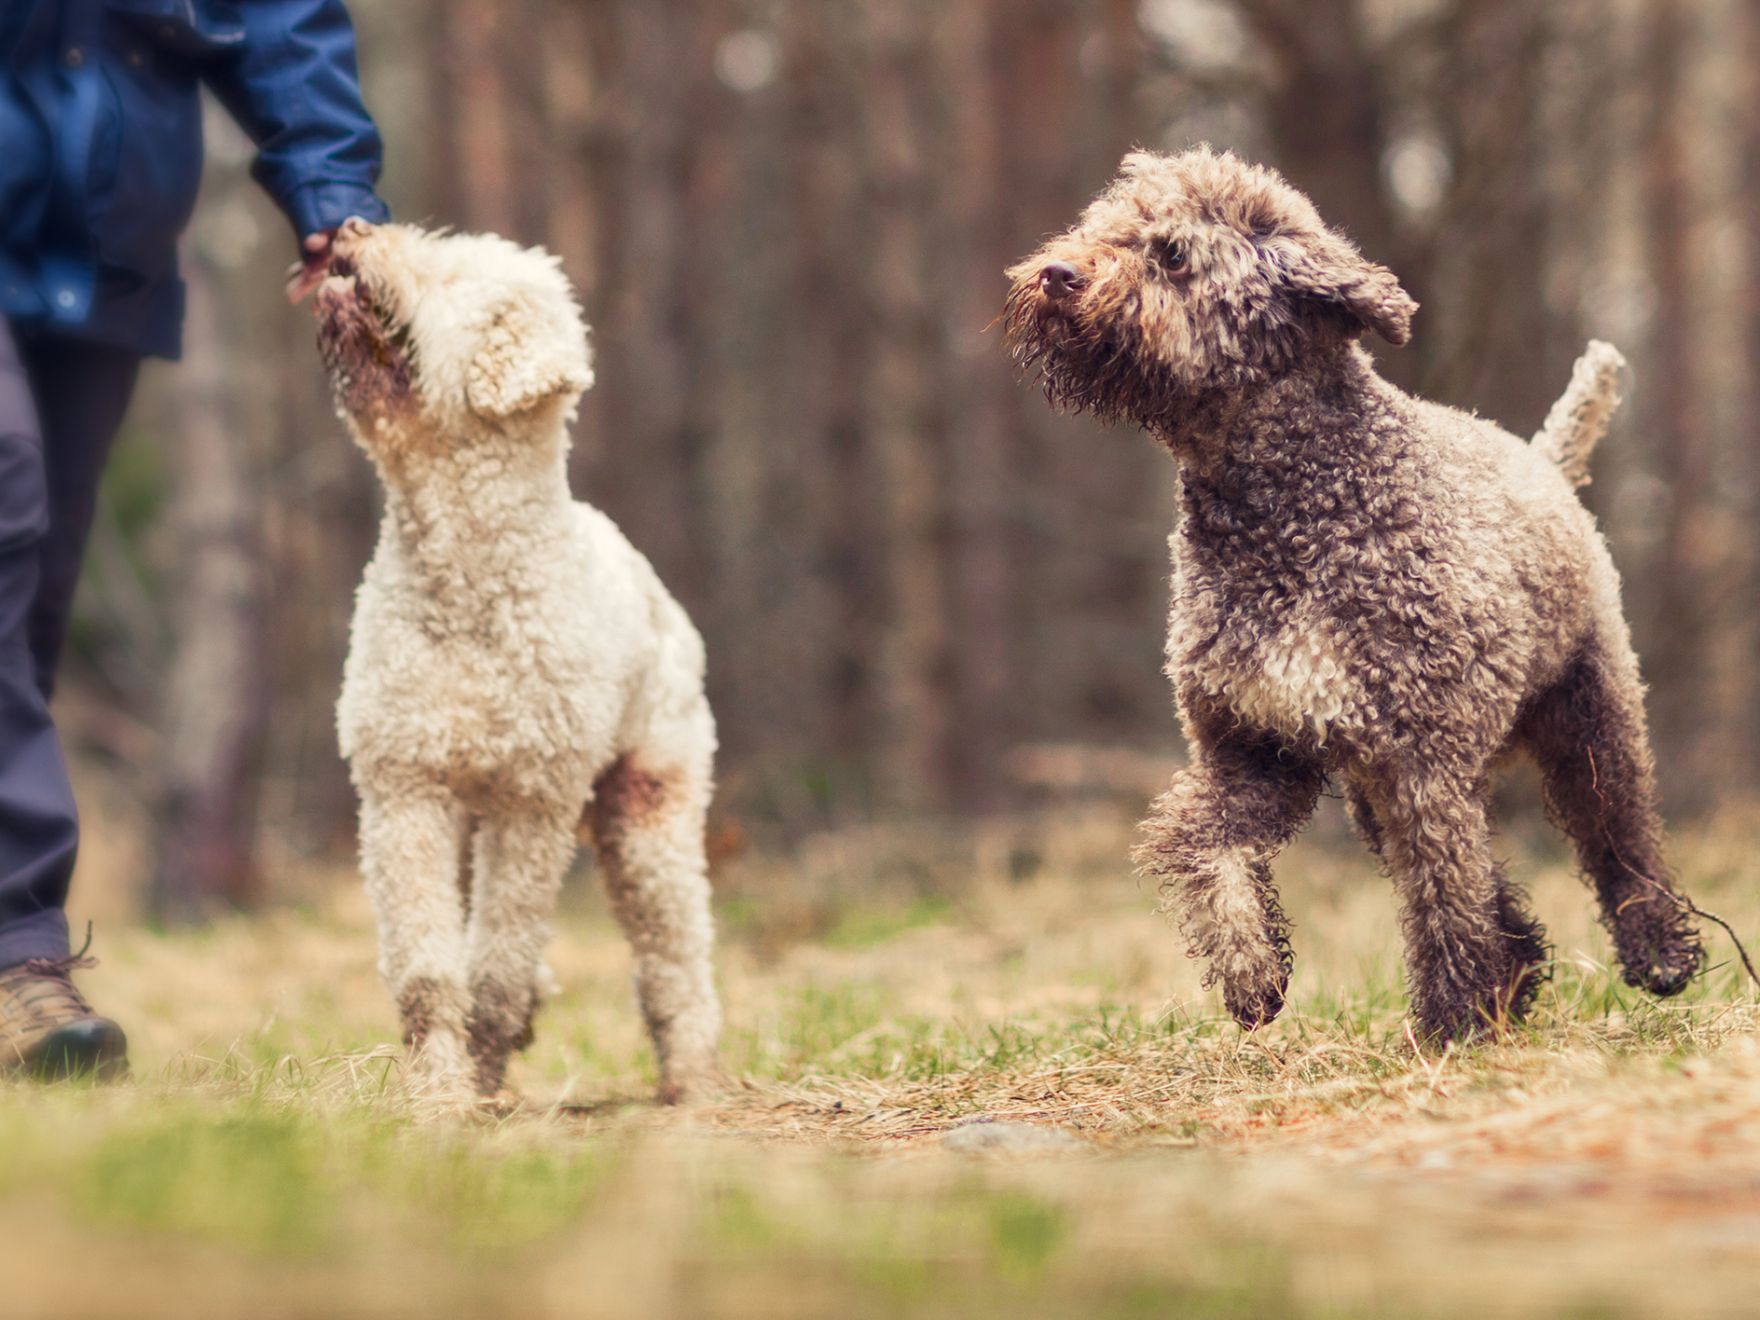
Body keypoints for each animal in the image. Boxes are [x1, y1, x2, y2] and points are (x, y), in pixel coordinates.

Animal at [313, 220, 718, 1105]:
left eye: (448, 270)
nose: (352, 228)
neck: (466, 583)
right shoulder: (405, 790)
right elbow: (430, 972)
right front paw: (441, 1092)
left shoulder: (532, 801)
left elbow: (493, 970)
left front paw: (484, 1071)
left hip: (650, 806)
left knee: (674, 953)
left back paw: (694, 1078)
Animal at [1006, 149, 1703, 1041]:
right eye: (1102, 227)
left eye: (1171, 254)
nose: (1058, 273)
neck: (1285, 512)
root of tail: (1543, 459)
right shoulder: (1255, 747)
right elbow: (1201, 847)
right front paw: (1253, 975)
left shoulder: (1420, 760)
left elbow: (1443, 901)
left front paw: (1452, 1027)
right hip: (1378, 789)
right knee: (1492, 881)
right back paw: (1516, 975)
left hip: (1588, 719)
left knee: (1621, 840)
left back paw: (1659, 956)